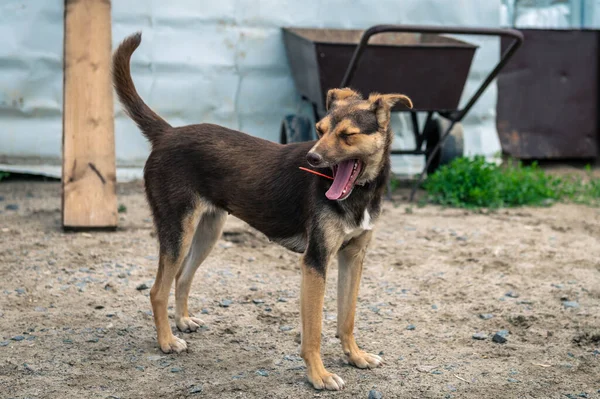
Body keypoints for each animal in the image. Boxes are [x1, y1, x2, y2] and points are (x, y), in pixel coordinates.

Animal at [111, 33, 412, 390]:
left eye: (347, 135)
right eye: (320, 129)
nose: (311, 159)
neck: (359, 194)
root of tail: (168, 133)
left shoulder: (353, 257)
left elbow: (347, 317)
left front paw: (355, 356)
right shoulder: (315, 262)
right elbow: (314, 330)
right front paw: (319, 374)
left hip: (208, 231)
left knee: (182, 277)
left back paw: (182, 321)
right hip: (177, 230)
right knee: (157, 289)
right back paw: (167, 341)